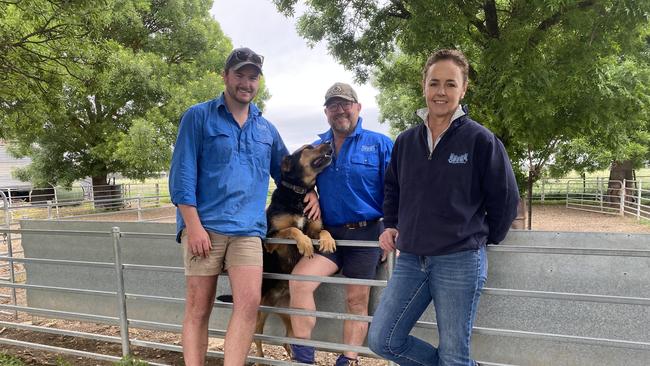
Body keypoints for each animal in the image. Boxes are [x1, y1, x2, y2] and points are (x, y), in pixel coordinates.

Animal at [252, 143, 336, 360]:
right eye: (308, 147)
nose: (330, 143)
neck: (298, 193)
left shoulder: (314, 228)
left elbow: (321, 230)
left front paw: (328, 240)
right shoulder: (272, 239)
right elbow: (293, 229)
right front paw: (304, 244)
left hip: (292, 314)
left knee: (287, 338)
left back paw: (292, 354)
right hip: (260, 311)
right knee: (257, 336)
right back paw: (260, 358)